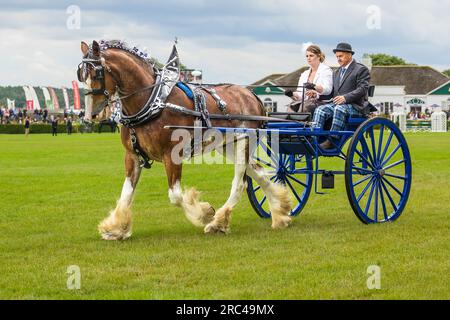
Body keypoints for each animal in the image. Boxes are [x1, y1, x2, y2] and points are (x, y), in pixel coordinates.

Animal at [80, 40, 292, 240]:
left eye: (97, 73)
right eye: (81, 74)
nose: (91, 115)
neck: (153, 101)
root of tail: (252, 95)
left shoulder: (172, 154)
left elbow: (175, 196)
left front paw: (205, 213)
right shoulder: (132, 156)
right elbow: (126, 194)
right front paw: (116, 229)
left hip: (244, 141)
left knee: (240, 183)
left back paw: (218, 221)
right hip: (228, 146)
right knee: (260, 173)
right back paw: (279, 212)